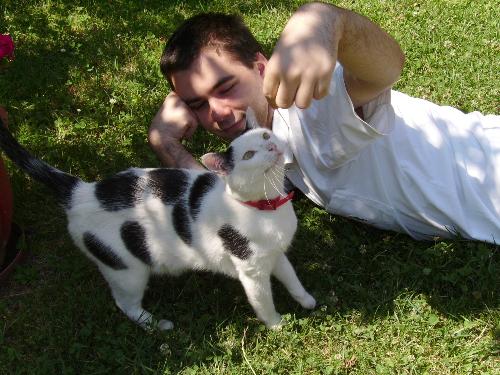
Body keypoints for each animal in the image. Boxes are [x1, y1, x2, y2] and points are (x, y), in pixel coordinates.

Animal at [0, 116, 314, 330]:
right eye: (249, 155)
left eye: (265, 134)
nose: (271, 145)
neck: (265, 207)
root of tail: (83, 191)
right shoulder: (251, 271)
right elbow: (263, 301)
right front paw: (277, 324)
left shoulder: (276, 254)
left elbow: (292, 278)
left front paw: (307, 300)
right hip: (127, 271)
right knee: (124, 304)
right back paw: (155, 324)